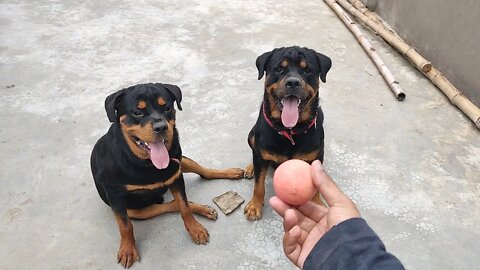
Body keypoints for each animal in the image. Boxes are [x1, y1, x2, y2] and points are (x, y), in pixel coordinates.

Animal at [91, 83, 244, 268]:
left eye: (167, 107)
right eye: (137, 112)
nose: (161, 127)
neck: (146, 163)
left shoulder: (175, 176)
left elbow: (184, 207)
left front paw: (195, 229)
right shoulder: (115, 194)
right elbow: (125, 225)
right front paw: (128, 249)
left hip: (181, 161)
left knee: (202, 174)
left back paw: (228, 175)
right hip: (137, 211)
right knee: (168, 205)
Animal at [244, 46, 334, 219]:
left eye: (307, 70)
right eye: (279, 69)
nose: (293, 82)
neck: (290, 130)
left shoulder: (316, 157)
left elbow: (316, 184)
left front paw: (317, 204)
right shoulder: (260, 152)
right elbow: (259, 184)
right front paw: (255, 205)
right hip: (251, 135)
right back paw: (250, 168)